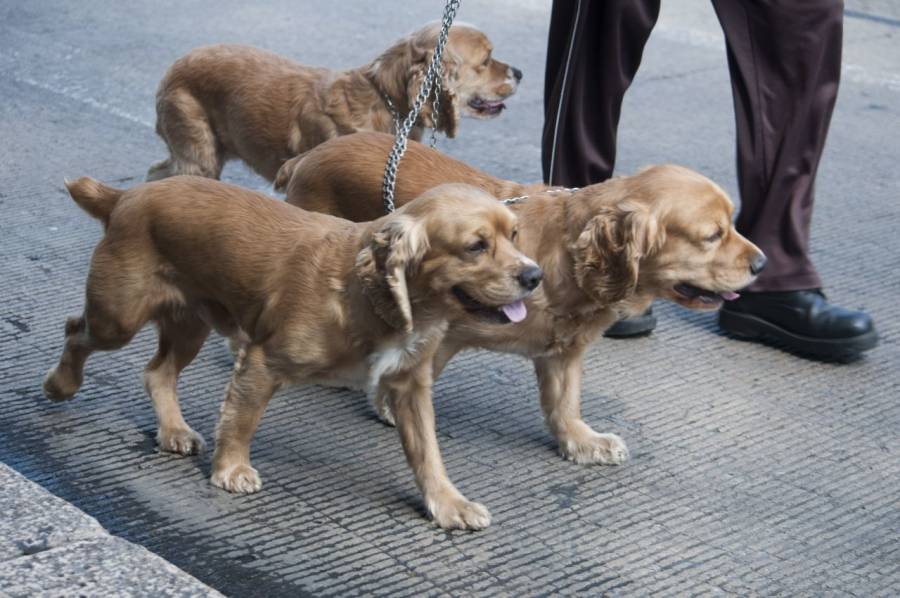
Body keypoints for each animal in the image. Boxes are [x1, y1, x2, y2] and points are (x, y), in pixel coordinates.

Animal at [44, 177, 540, 528]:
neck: (372, 297)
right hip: (118, 317)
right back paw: (60, 384)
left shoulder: (410, 385)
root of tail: (126, 195)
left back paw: (173, 430)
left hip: (189, 323)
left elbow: (428, 454)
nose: (534, 276)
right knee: (76, 331)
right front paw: (231, 470)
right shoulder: (263, 361)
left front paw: (448, 504)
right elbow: (241, 421)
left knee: (158, 372)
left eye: (516, 235)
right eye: (476, 246)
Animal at [280, 134, 768, 466]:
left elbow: (564, 402)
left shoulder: (564, 351)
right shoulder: (443, 332)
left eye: (732, 223)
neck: (567, 257)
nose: (763, 263)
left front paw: (581, 441)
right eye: (712, 235)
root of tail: (307, 156)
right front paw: (387, 405)